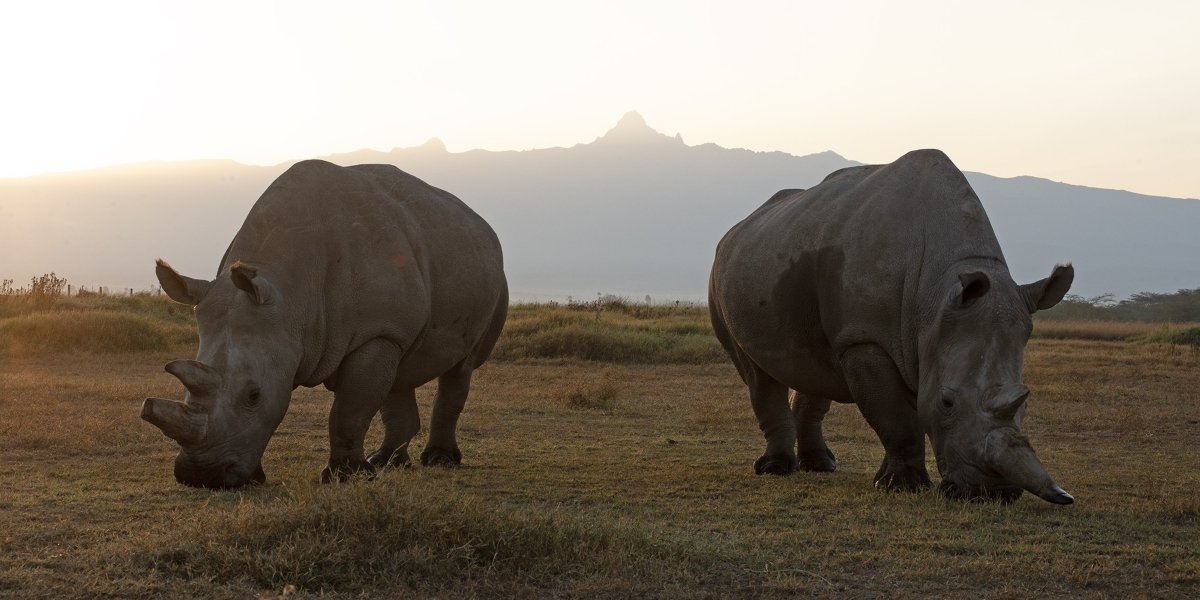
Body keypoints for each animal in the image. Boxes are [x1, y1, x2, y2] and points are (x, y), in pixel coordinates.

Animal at [141, 159, 508, 488]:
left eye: (254, 395)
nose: (201, 477)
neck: (291, 297)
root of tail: (482, 224)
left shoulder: (375, 332)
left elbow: (350, 408)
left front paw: (345, 477)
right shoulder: (301, 334)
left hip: (490, 279)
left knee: (460, 369)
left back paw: (438, 460)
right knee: (400, 372)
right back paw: (387, 463)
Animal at [709, 149, 1075, 504]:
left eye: (1026, 403)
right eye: (947, 402)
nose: (991, 494)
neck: (936, 292)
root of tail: (735, 231)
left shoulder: (922, 338)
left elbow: (904, 412)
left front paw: (886, 481)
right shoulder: (866, 339)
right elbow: (897, 418)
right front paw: (904, 487)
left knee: (814, 367)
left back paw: (821, 466)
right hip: (722, 277)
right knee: (758, 373)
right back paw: (776, 469)